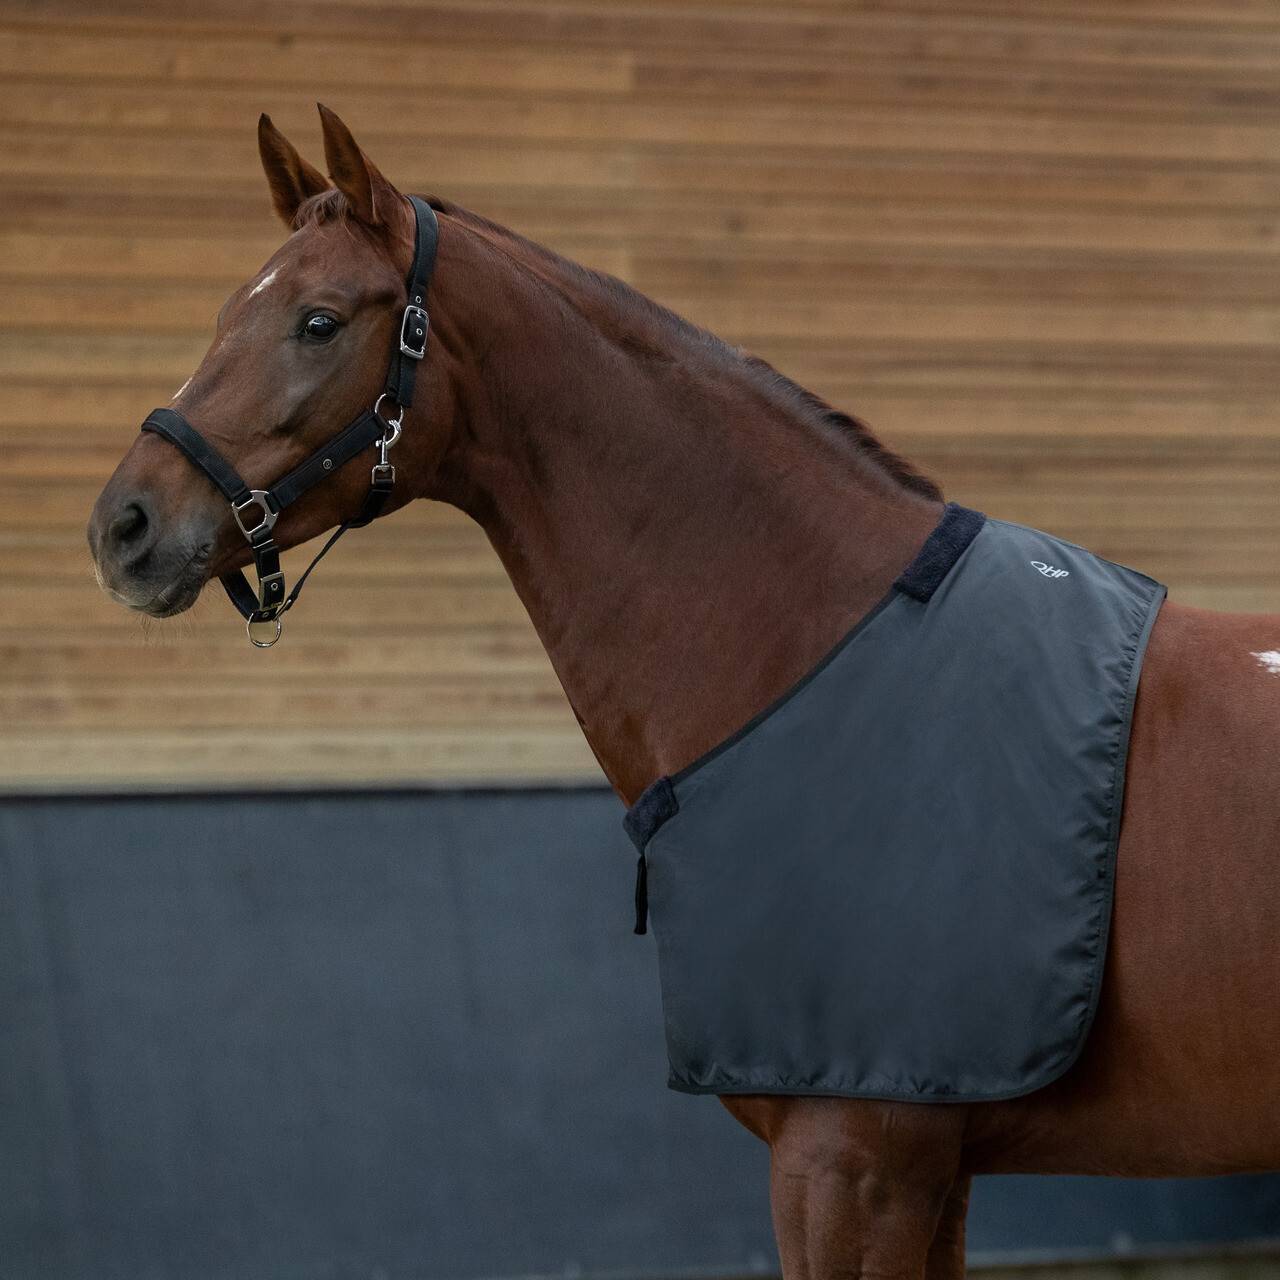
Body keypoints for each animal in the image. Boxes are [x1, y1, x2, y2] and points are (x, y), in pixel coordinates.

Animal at [88, 105, 1280, 1278]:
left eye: (320, 322)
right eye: (225, 312)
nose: (122, 527)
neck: (813, 653)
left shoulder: (856, 1163)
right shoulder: (929, 1170)